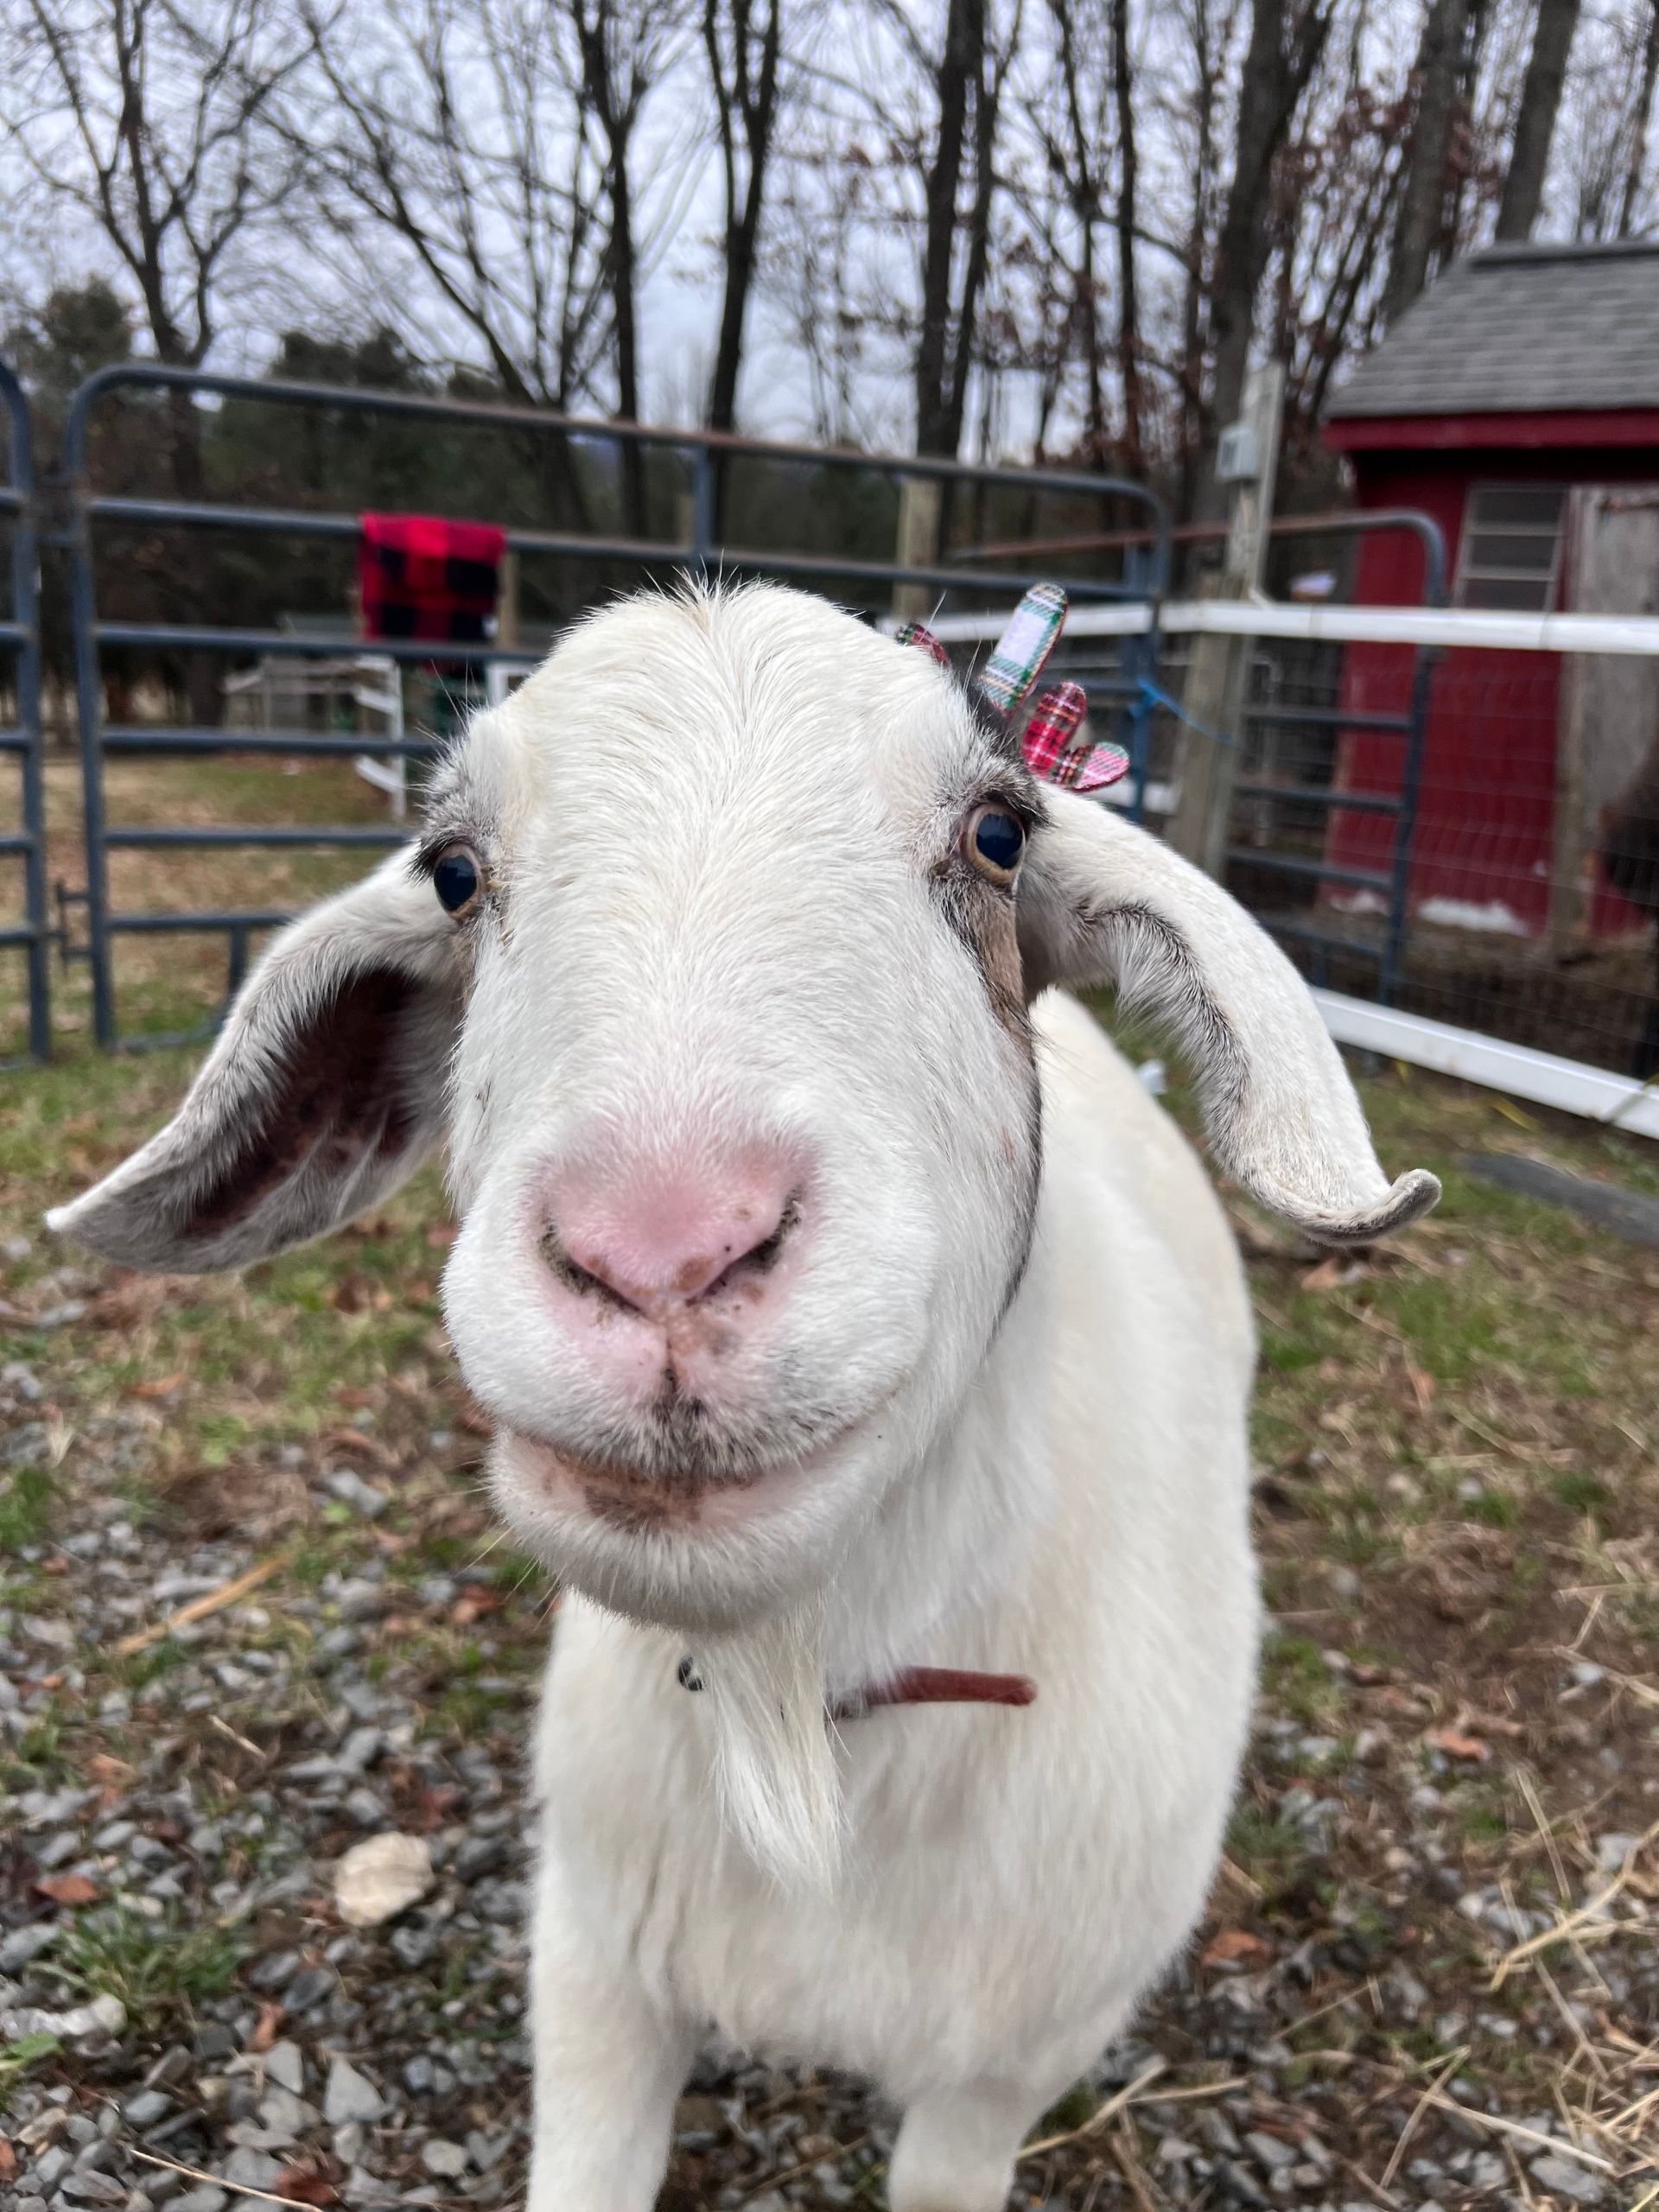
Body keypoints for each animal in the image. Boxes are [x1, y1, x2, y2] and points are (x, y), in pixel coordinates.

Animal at [52, 583, 1437, 2212]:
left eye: (998, 835)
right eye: (456, 872)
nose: (661, 1252)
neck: (810, 1722)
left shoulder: (1002, 2071)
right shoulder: (595, 1974)